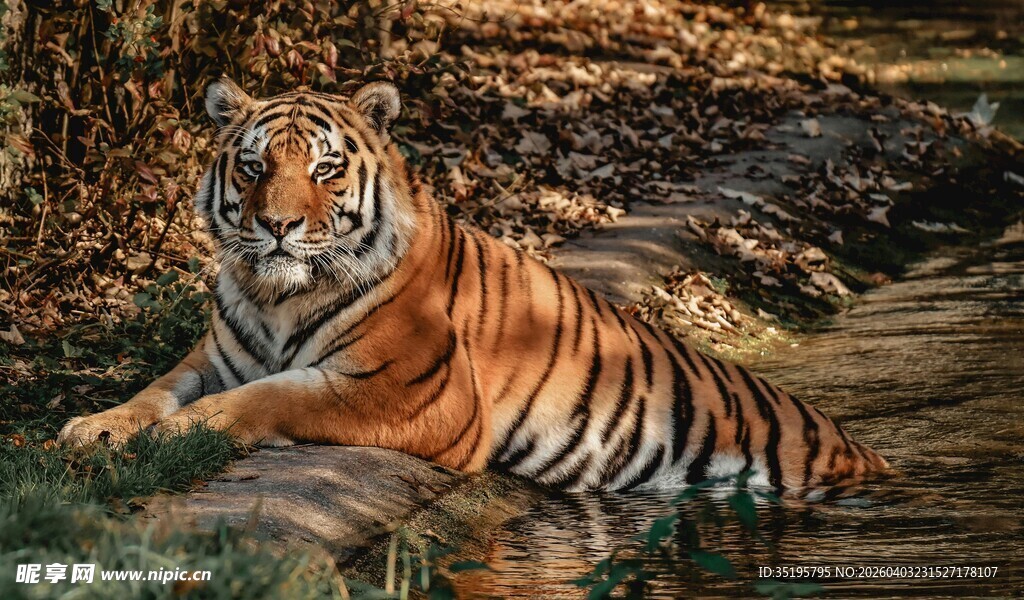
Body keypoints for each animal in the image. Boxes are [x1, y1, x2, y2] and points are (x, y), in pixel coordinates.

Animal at [57, 79, 890, 491]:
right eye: (255, 166)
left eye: (325, 169)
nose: (278, 227)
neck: (277, 294)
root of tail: (863, 451)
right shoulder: (213, 358)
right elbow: (156, 389)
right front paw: (96, 427)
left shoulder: (411, 389)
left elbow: (271, 397)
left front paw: (172, 436)